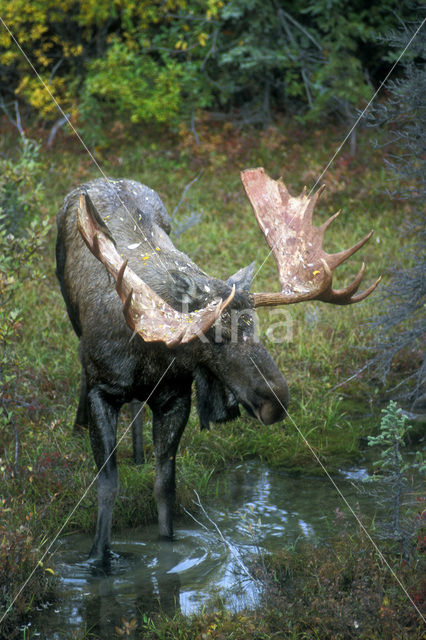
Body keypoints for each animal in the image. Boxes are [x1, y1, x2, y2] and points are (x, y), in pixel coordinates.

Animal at [55, 168, 380, 564]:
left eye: (254, 324)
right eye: (216, 335)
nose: (276, 400)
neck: (150, 354)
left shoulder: (176, 396)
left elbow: (166, 487)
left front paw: (168, 550)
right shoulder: (103, 390)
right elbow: (107, 486)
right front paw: (99, 559)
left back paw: (138, 453)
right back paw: (79, 424)